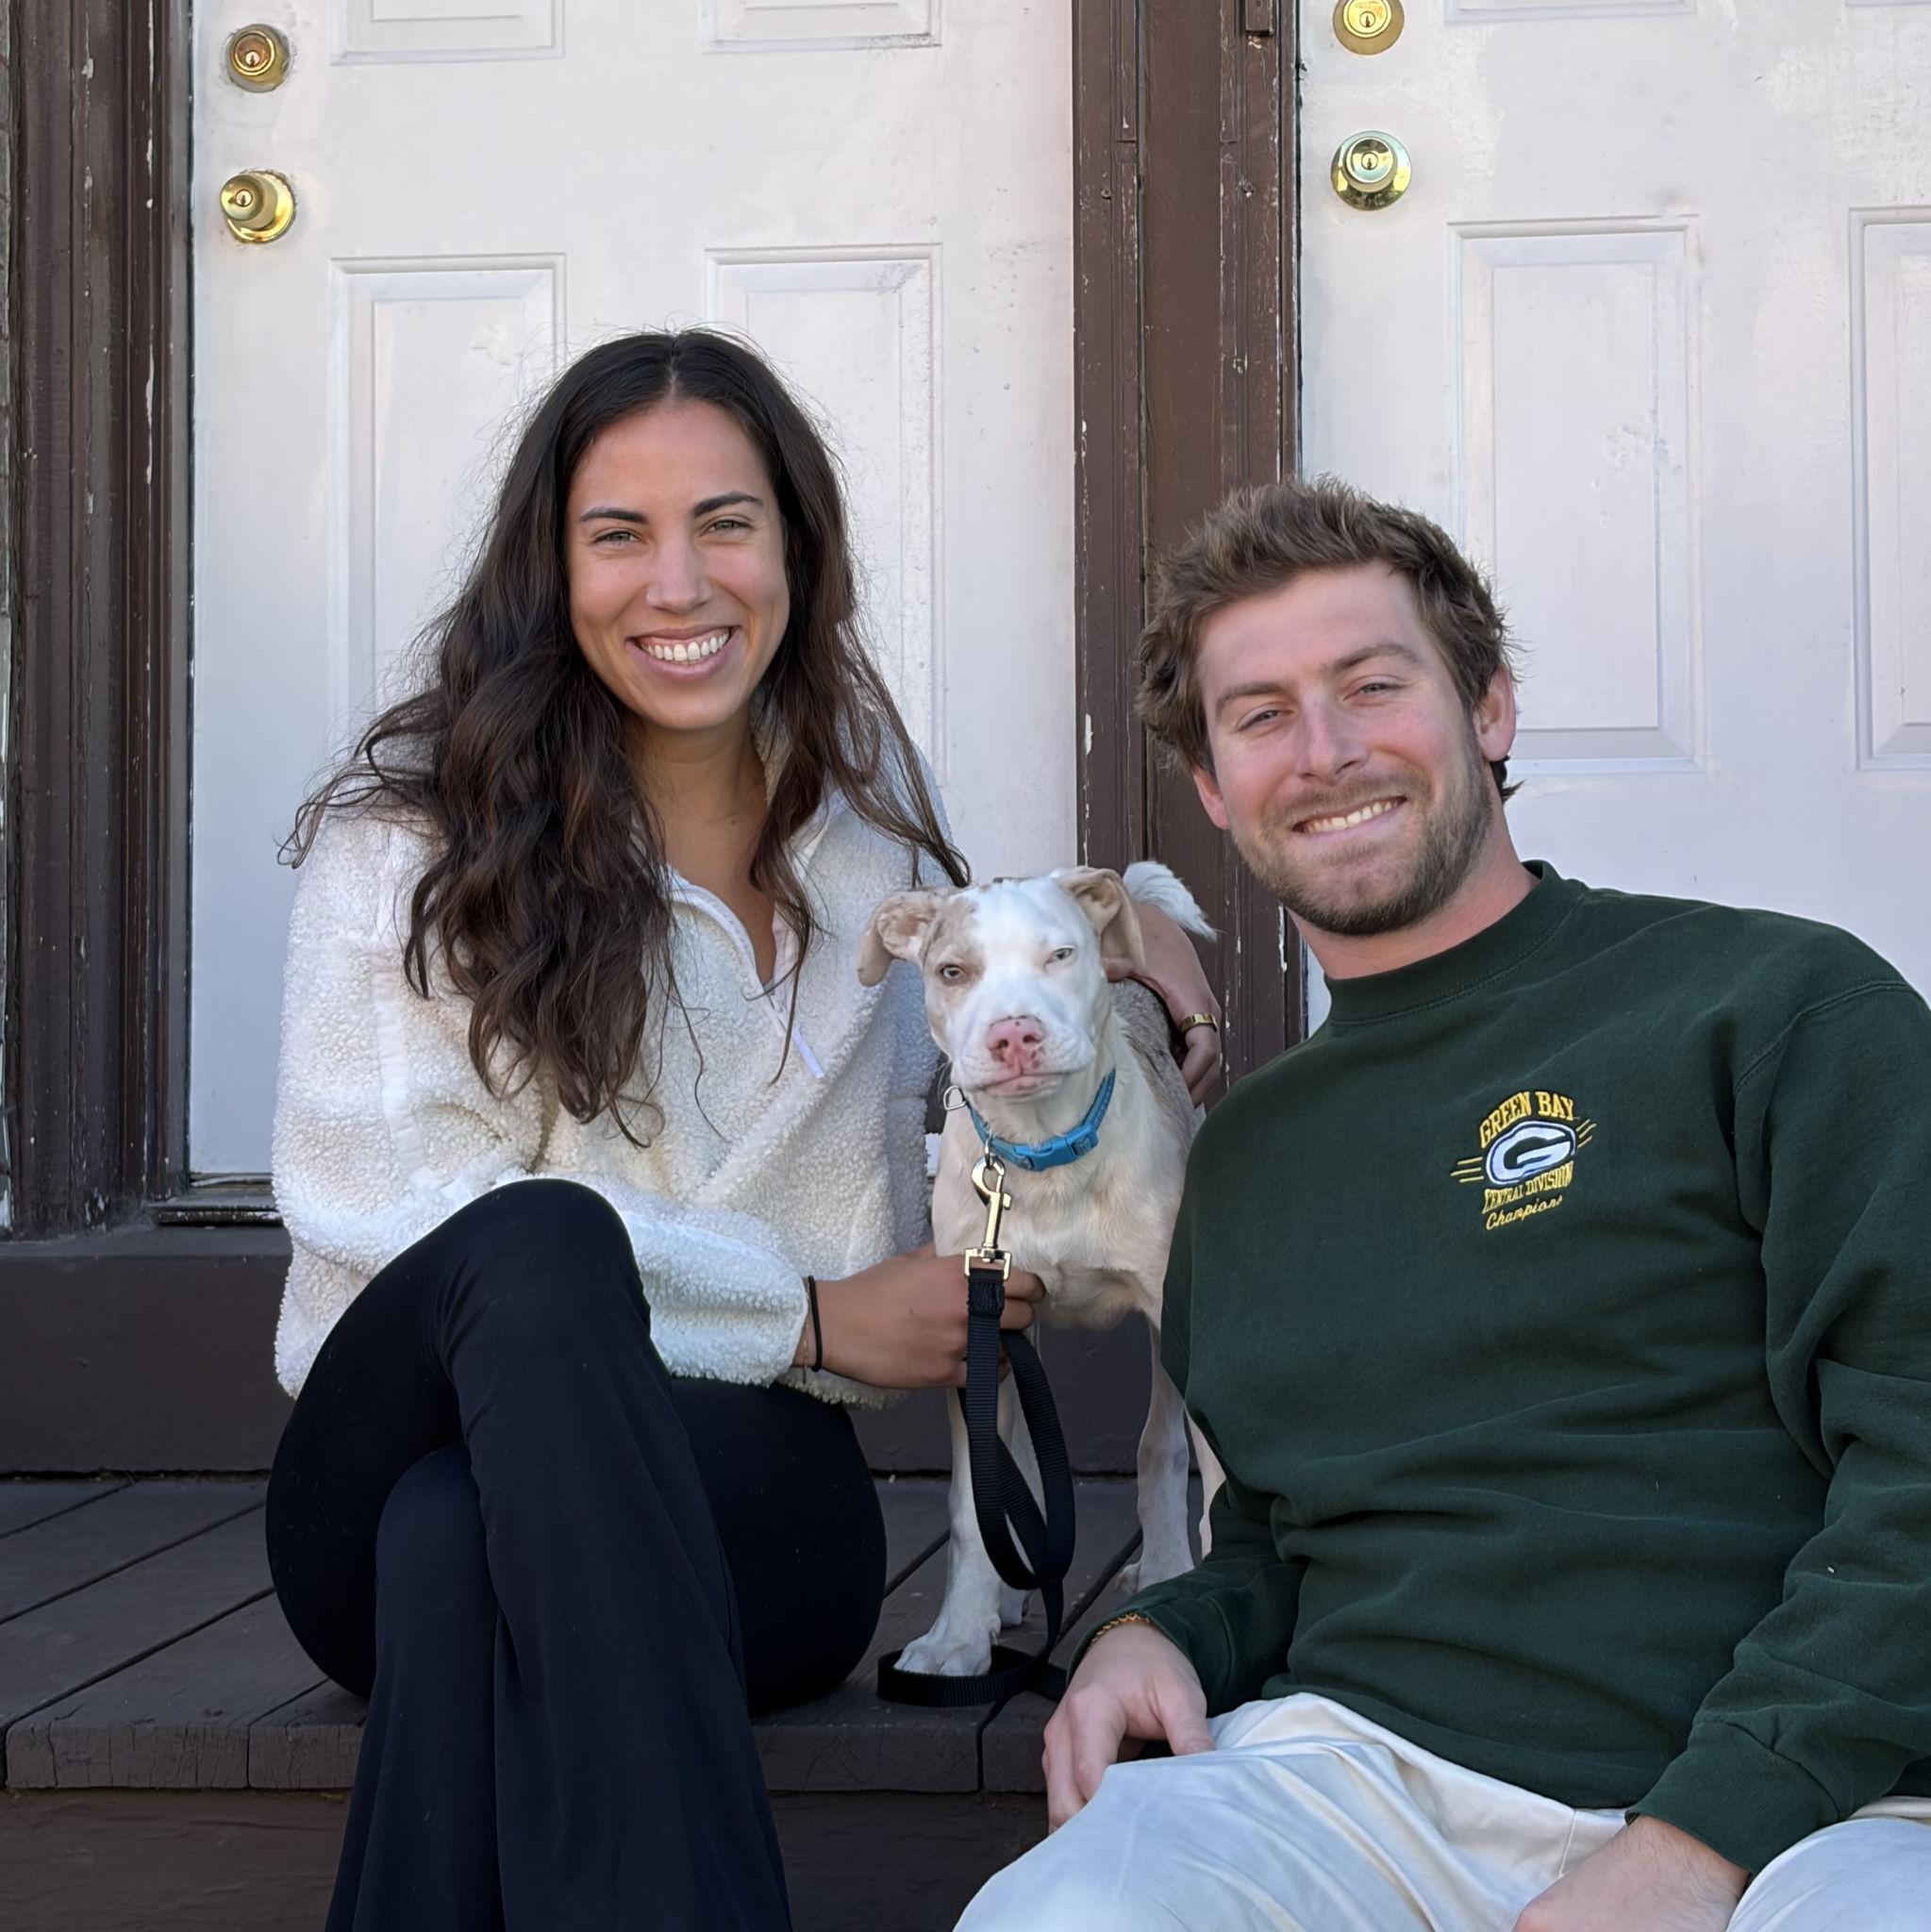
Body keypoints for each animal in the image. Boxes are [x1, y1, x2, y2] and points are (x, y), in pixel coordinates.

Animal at [858, 863, 1226, 1678]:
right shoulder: (974, 1324)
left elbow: (1198, 1465)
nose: (1013, 1035)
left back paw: (1162, 1566)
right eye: (951, 972)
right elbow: (971, 1504)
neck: (1043, 1151)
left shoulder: (1176, 1313)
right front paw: (956, 1638)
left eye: (1061, 955)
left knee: (1158, 1444)